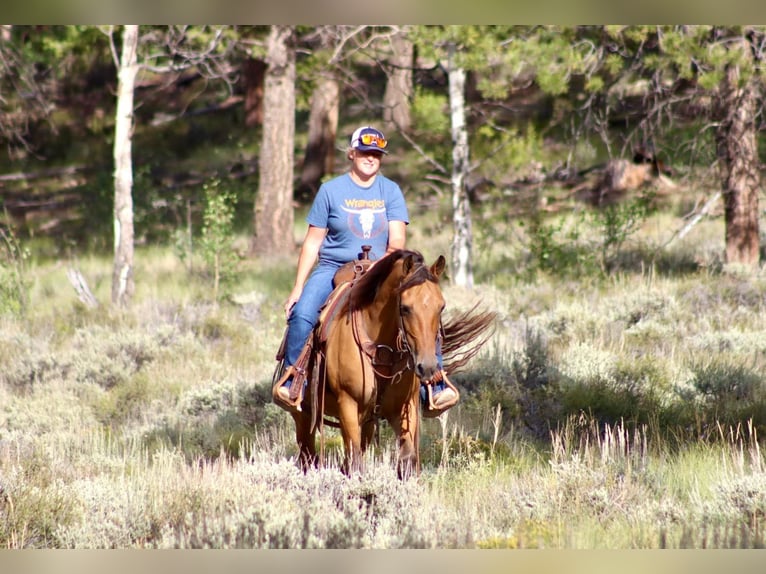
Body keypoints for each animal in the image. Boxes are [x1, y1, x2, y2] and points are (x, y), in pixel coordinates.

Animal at [286, 248, 496, 479]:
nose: (428, 367)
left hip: (367, 422)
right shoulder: (347, 404)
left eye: (441, 307)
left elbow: (406, 459)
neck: (381, 352)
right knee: (309, 454)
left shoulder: (404, 407)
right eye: (404, 308)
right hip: (304, 415)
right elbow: (356, 463)